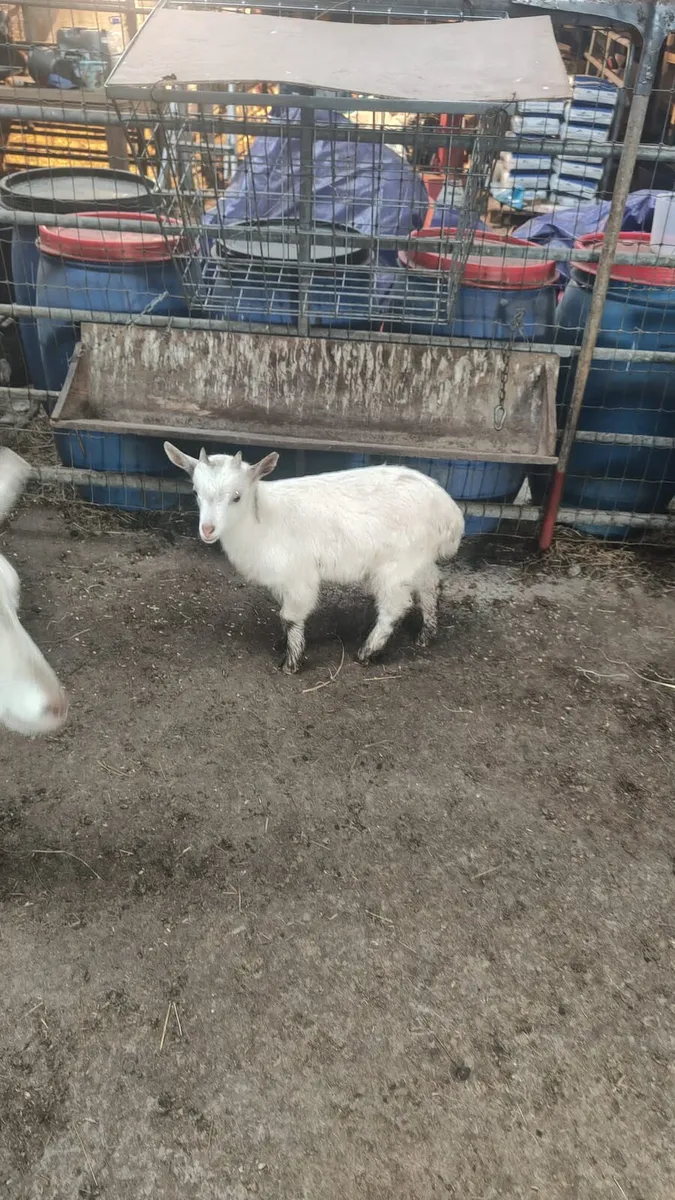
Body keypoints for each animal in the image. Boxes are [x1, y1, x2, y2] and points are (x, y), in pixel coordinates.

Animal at [165, 443, 464, 673]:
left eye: (236, 497)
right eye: (195, 492)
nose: (207, 529)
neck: (263, 520)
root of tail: (451, 514)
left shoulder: (299, 575)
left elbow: (290, 616)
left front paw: (291, 662)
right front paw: (282, 644)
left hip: (397, 563)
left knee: (395, 606)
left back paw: (367, 651)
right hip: (419, 557)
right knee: (430, 586)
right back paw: (425, 635)